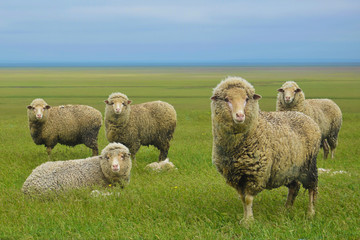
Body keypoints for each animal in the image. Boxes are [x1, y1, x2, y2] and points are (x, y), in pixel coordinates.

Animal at [210, 77, 322, 223]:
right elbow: (242, 199)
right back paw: (287, 209)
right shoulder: (236, 175)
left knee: (312, 188)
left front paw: (249, 221)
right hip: (290, 168)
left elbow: (248, 199)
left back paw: (310, 213)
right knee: (294, 187)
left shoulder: (256, 173)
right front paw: (244, 219)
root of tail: (304, 116)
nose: (240, 116)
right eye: (226, 99)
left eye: (247, 98)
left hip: (309, 164)